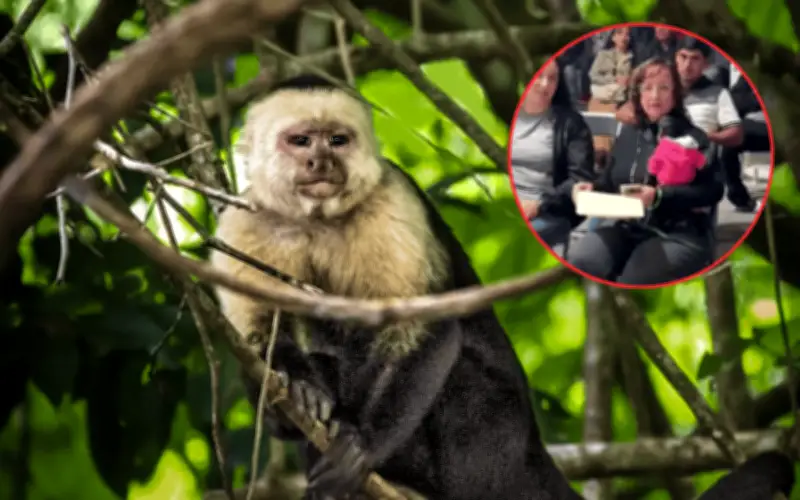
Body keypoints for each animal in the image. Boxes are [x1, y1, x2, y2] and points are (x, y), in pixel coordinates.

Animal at [209, 74, 796, 500]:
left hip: (494, 451)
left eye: (338, 139)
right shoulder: (244, 223)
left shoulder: (390, 205)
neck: (319, 219)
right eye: (300, 141)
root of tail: (533, 452)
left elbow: (430, 330)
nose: (321, 161)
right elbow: (259, 333)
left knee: (462, 377)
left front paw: (364, 444)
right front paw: (299, 385)